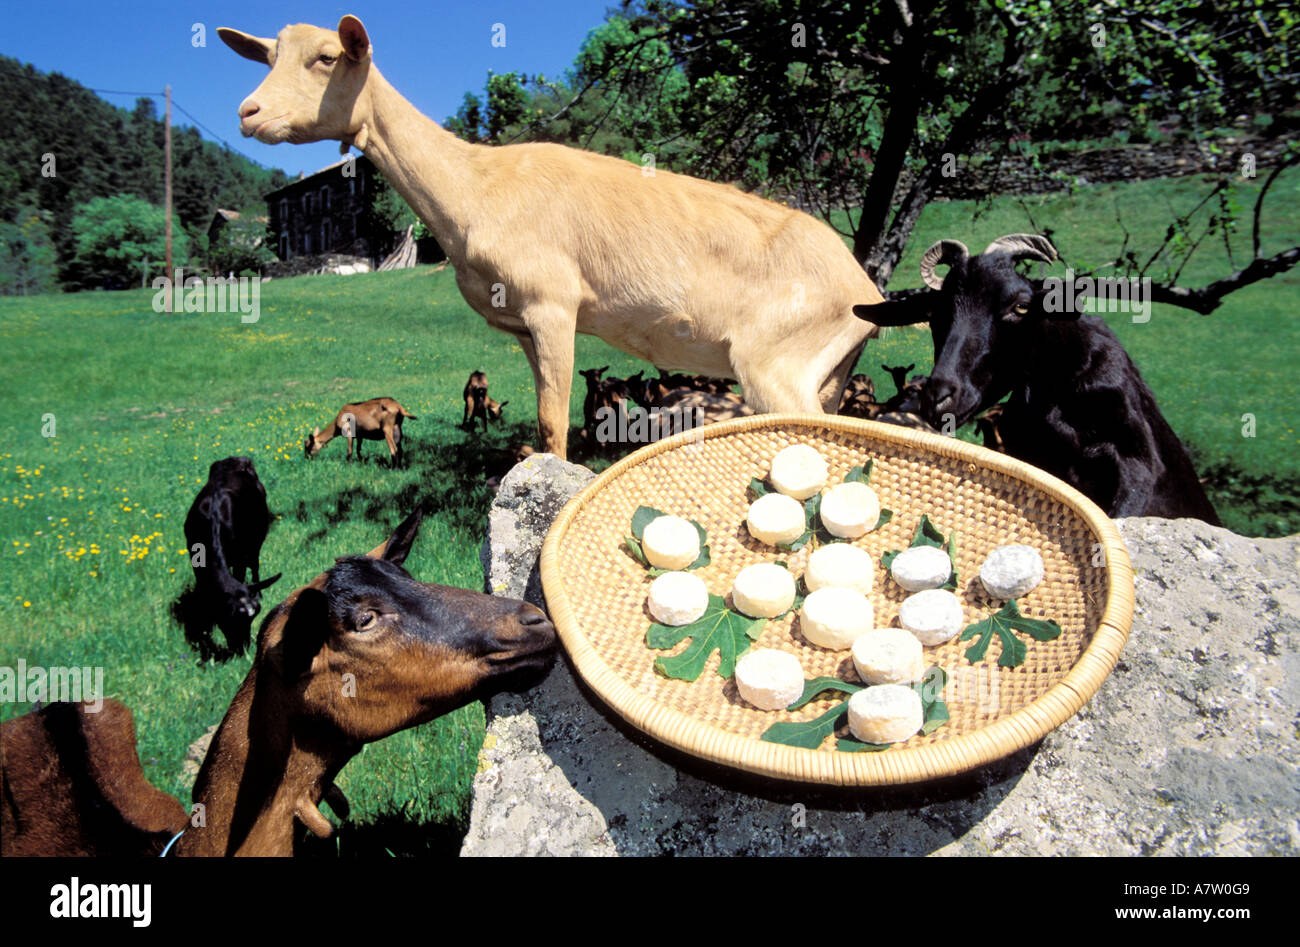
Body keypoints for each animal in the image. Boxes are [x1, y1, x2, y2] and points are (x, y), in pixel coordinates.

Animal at [182, 456, 281, 655]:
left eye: (253, 616)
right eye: (230, 616)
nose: (242, 649)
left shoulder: (240, 558)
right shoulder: (196, 560)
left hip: (257, 536)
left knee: (255, 564)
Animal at [219, 16, 884, 460]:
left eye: (327, 56)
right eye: (268, 57)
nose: (248, 113)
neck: (476, 188)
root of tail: (864, 288)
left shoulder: (554, 306)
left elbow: (551, 424)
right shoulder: (521, 328)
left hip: (777, 362)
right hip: (826, 371)